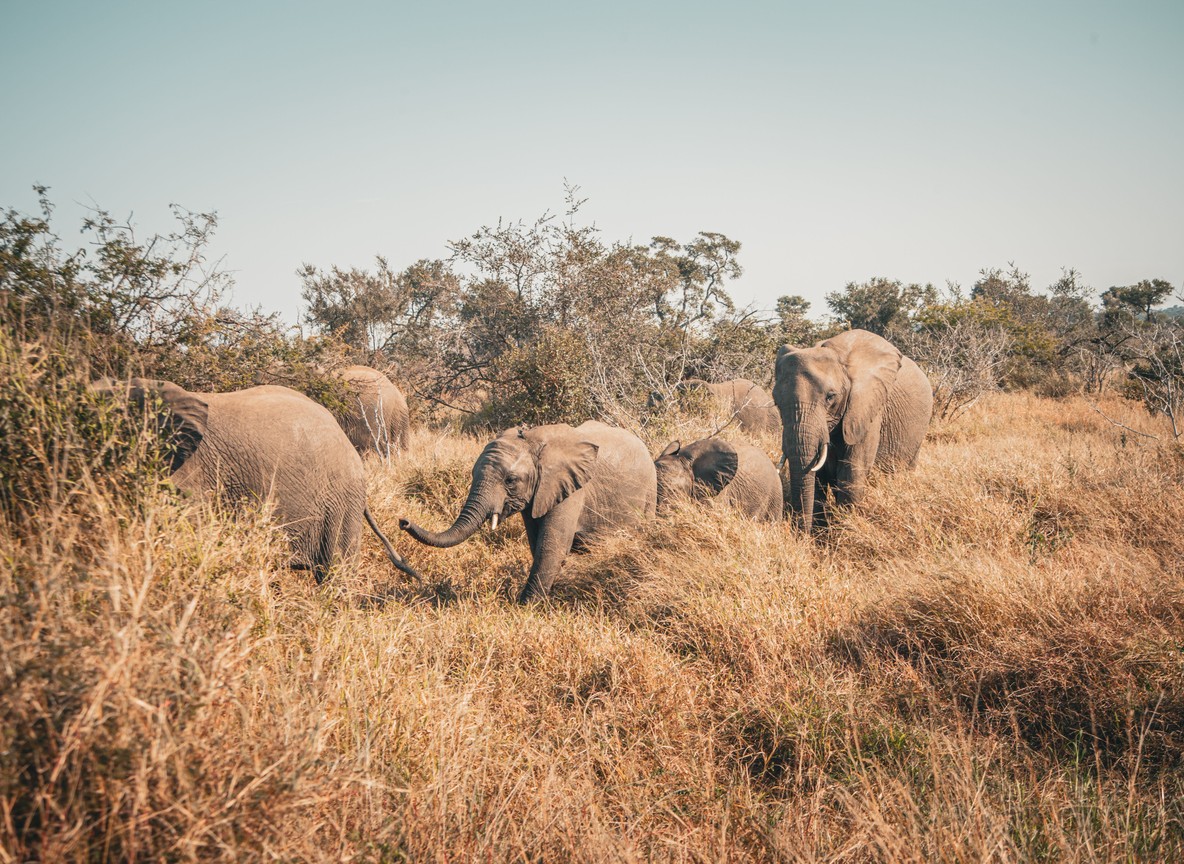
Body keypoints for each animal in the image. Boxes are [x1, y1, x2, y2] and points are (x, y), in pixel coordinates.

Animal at [399, 421, 656, 602]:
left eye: (510, 480)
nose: (403, 521)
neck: (534, 438)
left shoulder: (571, 490)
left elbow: (551, 546)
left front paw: (525, 607)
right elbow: (537, 544)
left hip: (650, 492)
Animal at [773, 329, 933, 532]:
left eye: (830, 397)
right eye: (776, 401)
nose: (801, 535)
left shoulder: (868, 408)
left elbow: (851, 476)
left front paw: (843, 534)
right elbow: (818, 477)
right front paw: (819, 535)